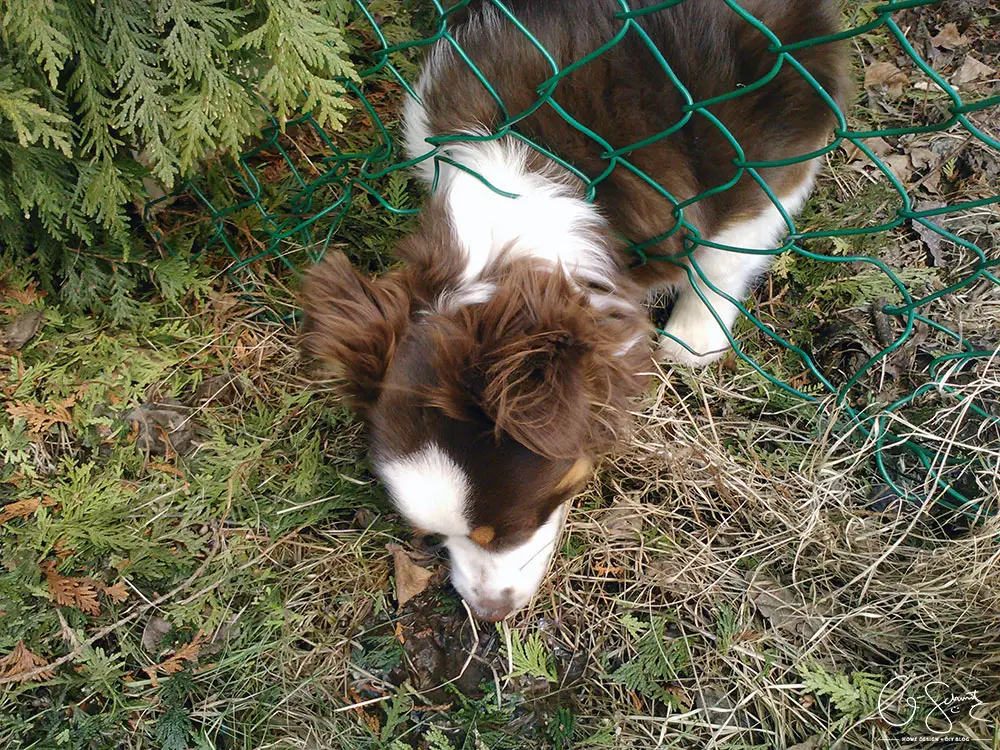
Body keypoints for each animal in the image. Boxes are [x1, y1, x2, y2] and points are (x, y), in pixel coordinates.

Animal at [300, 0, 848, 624]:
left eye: (510, 528)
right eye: (432, 538)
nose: (486, 614)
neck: (530, 169)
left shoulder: (764, 139)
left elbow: (732, 245)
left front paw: (692, 338)